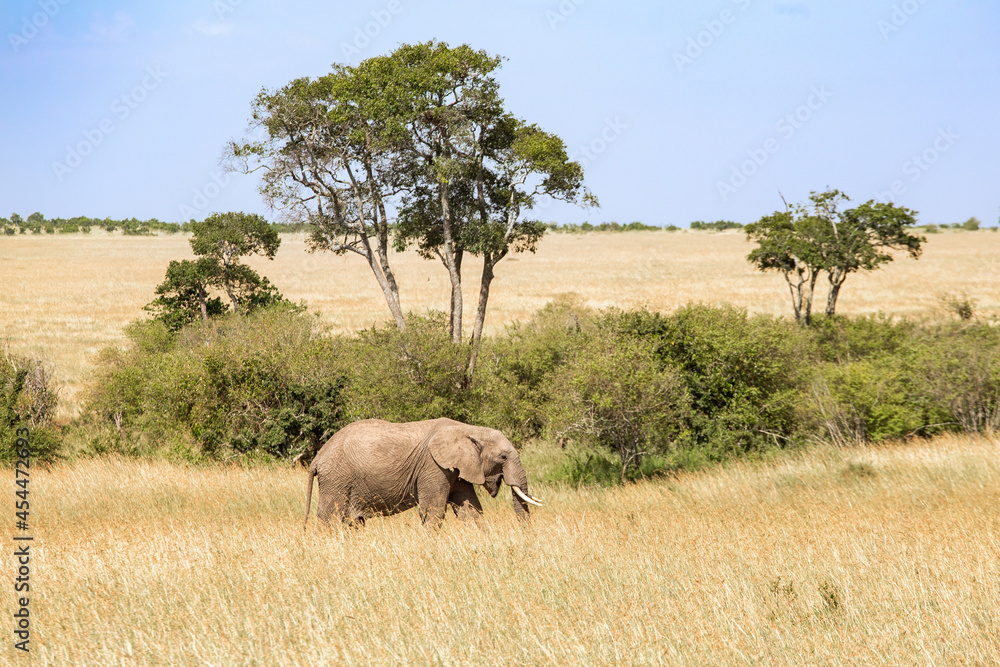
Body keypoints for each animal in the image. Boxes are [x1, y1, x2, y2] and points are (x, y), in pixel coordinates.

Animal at [303, 418, 542, 528]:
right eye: (503, 457)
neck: (468, 429)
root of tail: (318, 458)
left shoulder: (455, 469)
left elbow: (470, 510)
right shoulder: (434, 467)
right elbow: (433, 511)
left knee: (352, 522)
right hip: (337, 478)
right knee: (330, 518)